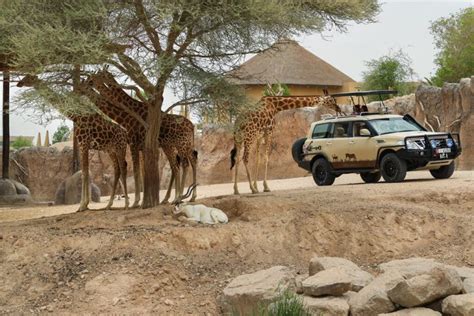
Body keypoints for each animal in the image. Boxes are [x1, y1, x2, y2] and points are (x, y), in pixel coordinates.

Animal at [17, 75, 130, 211]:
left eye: (28, 77)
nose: (19, 83)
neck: (76, 117)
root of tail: (125, 134)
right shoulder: (83, 145)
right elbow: (85, 172)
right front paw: (84, 204)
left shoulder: (84, 144)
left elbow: (85, 173)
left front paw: (82, 205)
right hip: (110, 149)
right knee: (117, 169)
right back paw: (109, 205)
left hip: (120, 147)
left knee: (123, 167)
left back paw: (127, 204)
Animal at [85, 69, 196, 202]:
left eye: (96, 77)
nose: (88, 82)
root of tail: (192, 126)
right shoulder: (142, 147)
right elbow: (143, 170)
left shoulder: (137, 144)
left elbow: (139, 170)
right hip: (182, 145)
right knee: (185, 162)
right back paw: (184, 197)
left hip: (180, 144)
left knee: (182, 164)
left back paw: (178, 197)